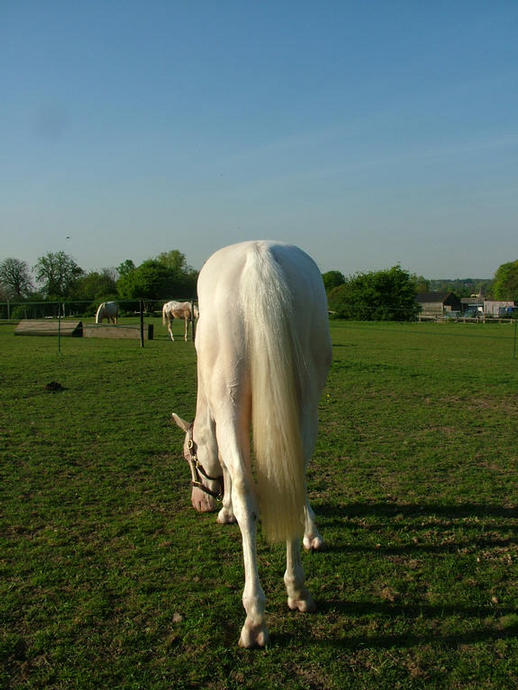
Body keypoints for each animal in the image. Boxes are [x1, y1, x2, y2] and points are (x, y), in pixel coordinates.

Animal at [174, 241, 334, 644]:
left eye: (189, 457)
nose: (199, 501)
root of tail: (261, 259)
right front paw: (312, 533)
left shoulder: (220, 412)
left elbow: (228, 467)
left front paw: (225, 509)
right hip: (306, 397)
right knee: (295, 476)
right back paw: (298, 590)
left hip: (229, 395)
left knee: (248, 489)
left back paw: (255, 618)